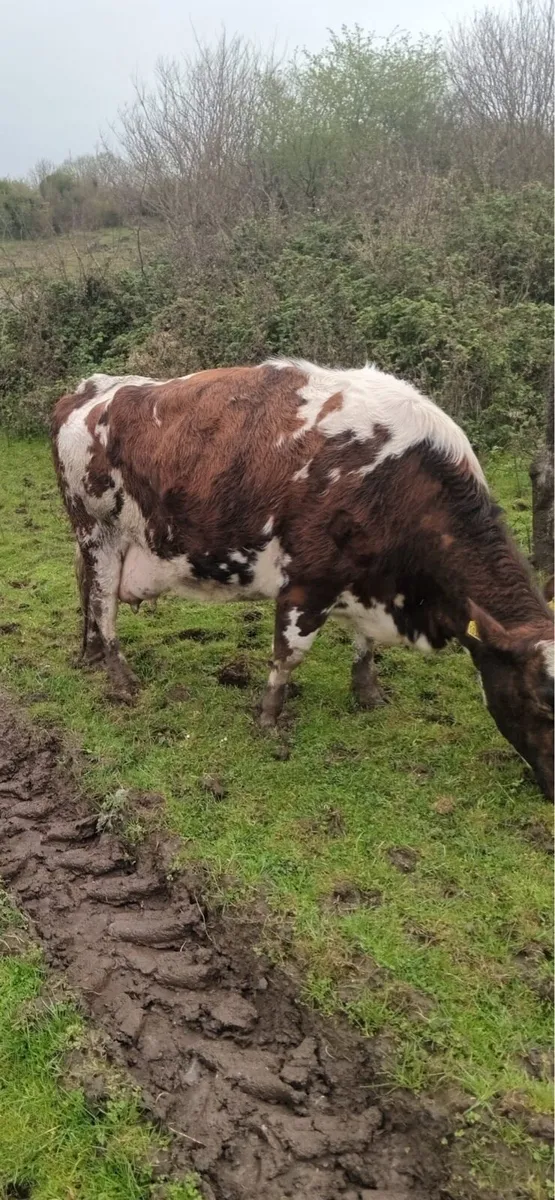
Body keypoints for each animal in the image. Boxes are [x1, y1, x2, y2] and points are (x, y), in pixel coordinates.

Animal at [51, 360, 554, 800]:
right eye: (541, 703)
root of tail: (90, 389)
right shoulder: (307, 582)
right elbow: (289, 655)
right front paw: (269, 719)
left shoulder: (363, 578)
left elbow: (364, 647)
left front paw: (367, 693)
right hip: (99, 533)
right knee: (103, 605)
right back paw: (120, 677)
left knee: (85, 590)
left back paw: (89, 655)